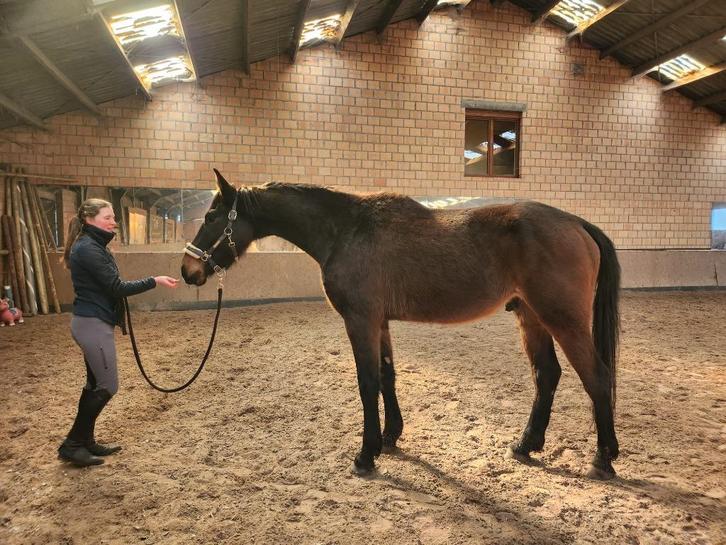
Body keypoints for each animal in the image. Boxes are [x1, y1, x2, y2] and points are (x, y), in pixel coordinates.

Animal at [181, 169, 621, 480]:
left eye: (212, 216)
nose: (188, 271)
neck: (347, 230)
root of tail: (576, 223)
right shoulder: (379, 323)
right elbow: (387, 376)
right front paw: (390, 437)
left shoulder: (360, 320)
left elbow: (367, 382)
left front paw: (366, 454)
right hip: (531, 317)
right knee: (546, 375)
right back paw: (526, 444)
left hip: (563, 320)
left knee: (597, 377)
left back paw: (603, 458)